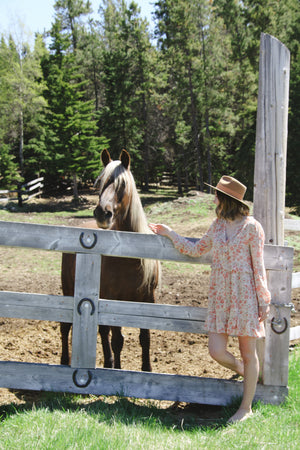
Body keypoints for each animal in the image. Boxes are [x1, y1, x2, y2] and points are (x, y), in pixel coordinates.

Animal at [59, 149, 161, 370]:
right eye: (100, 183)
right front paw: (119, 370)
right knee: (66, 326)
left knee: (102, 331)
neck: (129, 259)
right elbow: (118, 340)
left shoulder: (148, 297)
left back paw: (107, 362)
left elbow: (145, 337)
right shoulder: (114, 298)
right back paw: (64, 361)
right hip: (69, 289)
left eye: (122, 185)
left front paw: (146, 369)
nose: (101, 213)